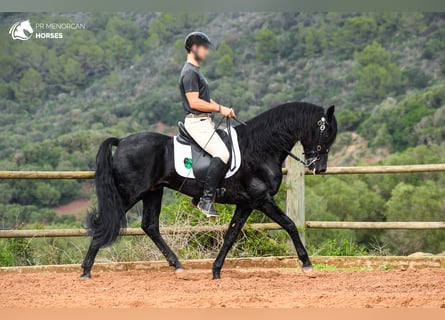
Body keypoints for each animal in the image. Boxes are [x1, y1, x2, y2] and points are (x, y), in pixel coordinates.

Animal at [81, 102, 334, 278]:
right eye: (326, 133)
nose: (319, 168)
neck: (260, 148)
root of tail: (122, 141)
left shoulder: (246, 203)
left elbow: (231, 235)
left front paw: (216, 270)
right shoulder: (262, 199)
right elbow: (290, 225)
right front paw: (307, 265)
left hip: (153, 192)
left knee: (150, 226)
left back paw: (178, 267)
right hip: (130, 193)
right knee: (107, 222)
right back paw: (85, 270)